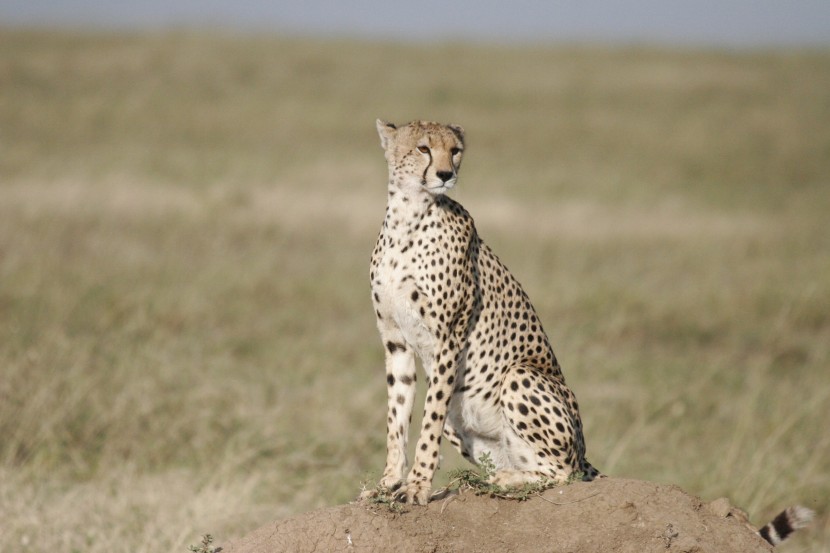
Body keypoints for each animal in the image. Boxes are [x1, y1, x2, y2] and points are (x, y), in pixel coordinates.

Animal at [362, 119, 600, 504]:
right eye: (423, 148)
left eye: (455, 150)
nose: (446, 174)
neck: (408, 216)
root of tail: (583, 452)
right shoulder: (395, 341)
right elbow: (396, 417)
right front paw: (388, 483)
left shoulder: (449, 336)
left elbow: (428, 420)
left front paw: (416, 486)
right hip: (464, 418)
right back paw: (490, 479)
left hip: (520, 376)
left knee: (564, 473)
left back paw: (503, 481)